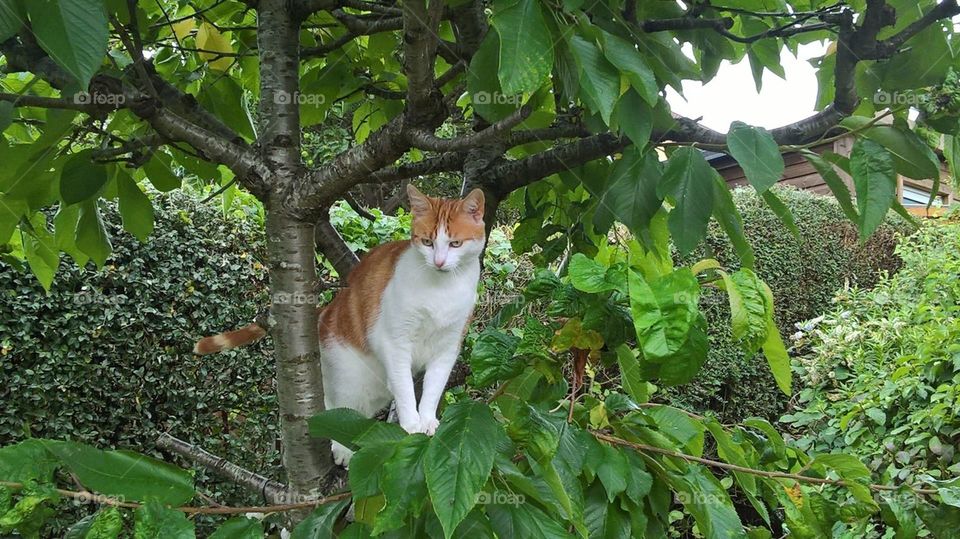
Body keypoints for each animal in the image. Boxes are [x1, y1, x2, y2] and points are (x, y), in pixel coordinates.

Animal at [193, 186, 488, 464]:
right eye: (427, 242)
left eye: (455, 244)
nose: (439, 261)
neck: (441, 289)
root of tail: (329, 307)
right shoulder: (395, 342)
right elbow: (405, 389)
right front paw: (411, 424)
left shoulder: (448, 347)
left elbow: (434, 388)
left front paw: (426, 420)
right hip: (347, 376)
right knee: (335, 410)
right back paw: (342, 449)